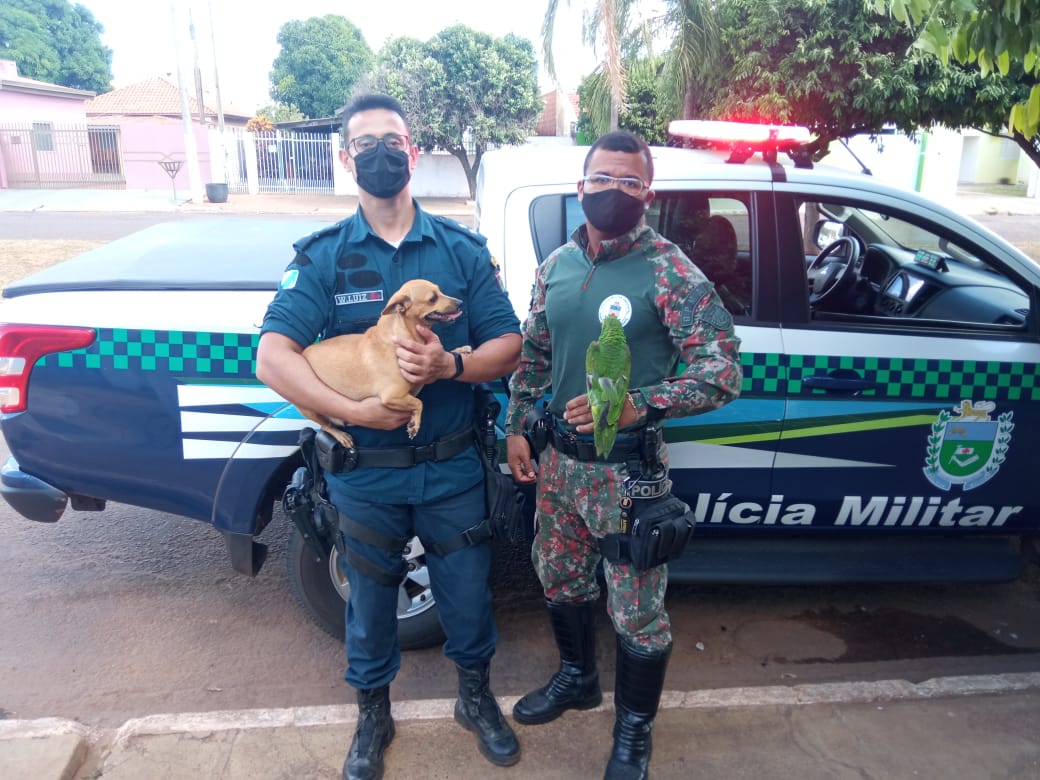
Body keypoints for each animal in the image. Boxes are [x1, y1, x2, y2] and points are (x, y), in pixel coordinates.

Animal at [298, 279, 471, 449]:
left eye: (440, 291)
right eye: (432, 298)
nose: (461, 302)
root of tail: (303, 353)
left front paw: (461, 350)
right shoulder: (392, 396)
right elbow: (419, 402)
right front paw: (415, 424)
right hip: (310, 408)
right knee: (326, 425)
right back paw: (341, 435)